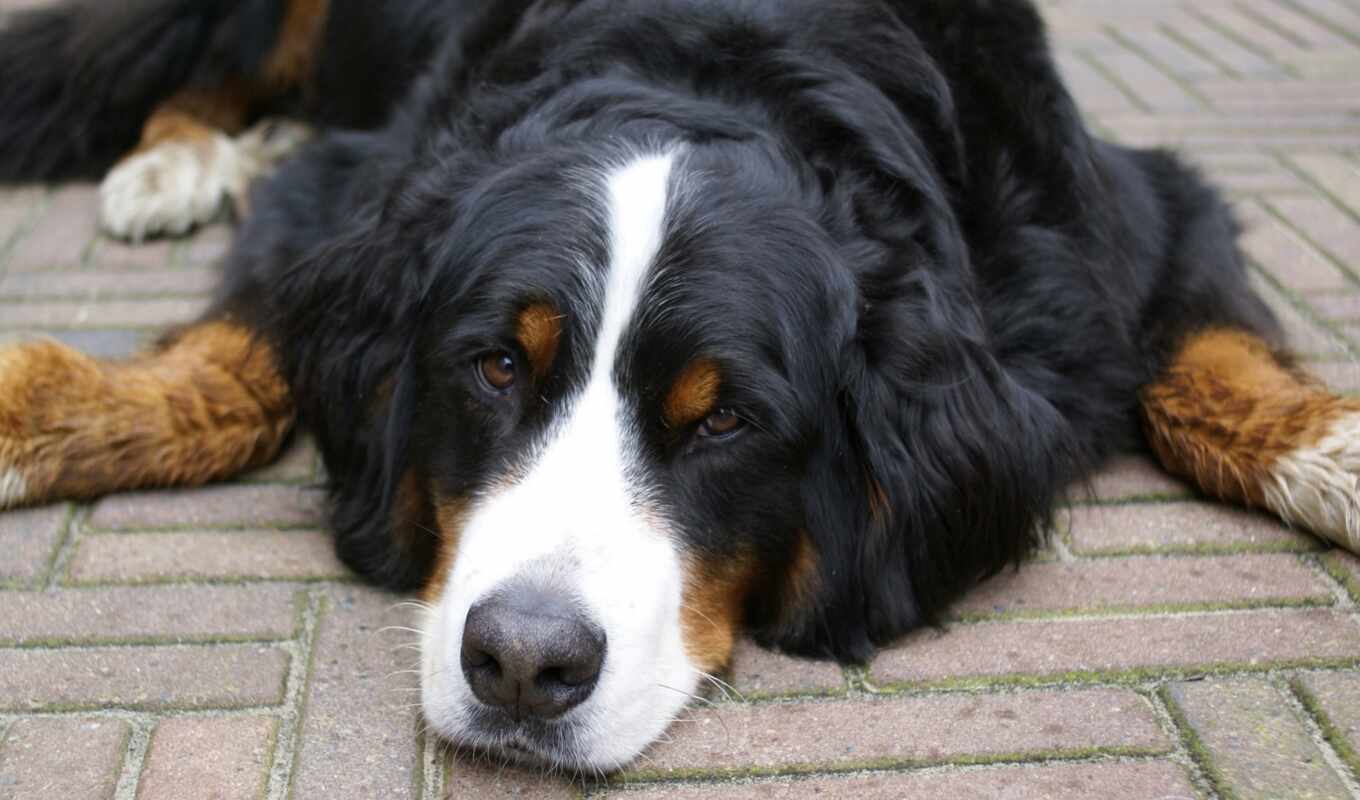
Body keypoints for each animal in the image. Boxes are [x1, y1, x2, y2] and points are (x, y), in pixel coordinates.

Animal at [2, 0, 1360, 772]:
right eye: (497, 363)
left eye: (723, 419)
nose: (521, 662)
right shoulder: (345, 197)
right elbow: (226, 378)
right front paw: (28, 408)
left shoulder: (1129, 219)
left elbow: (1212, 369)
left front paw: (1340, 449)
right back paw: (179, 160)